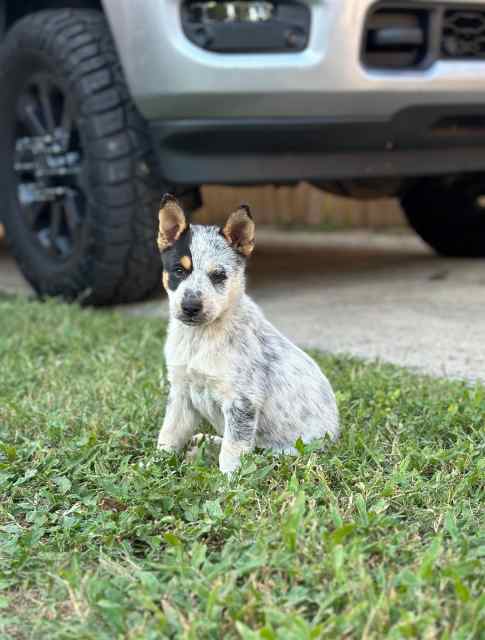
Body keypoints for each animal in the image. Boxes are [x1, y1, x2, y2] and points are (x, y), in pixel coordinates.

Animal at [157, 195, 338, 476]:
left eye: (218, 275)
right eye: (178, 270)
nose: (190, 307)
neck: (200, 338)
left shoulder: (242, 401)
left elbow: (233, 449)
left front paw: (228, 481)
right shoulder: (181, 392)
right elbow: (169, 434)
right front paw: (153, 466)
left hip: (286, 451)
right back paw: (203, 442)